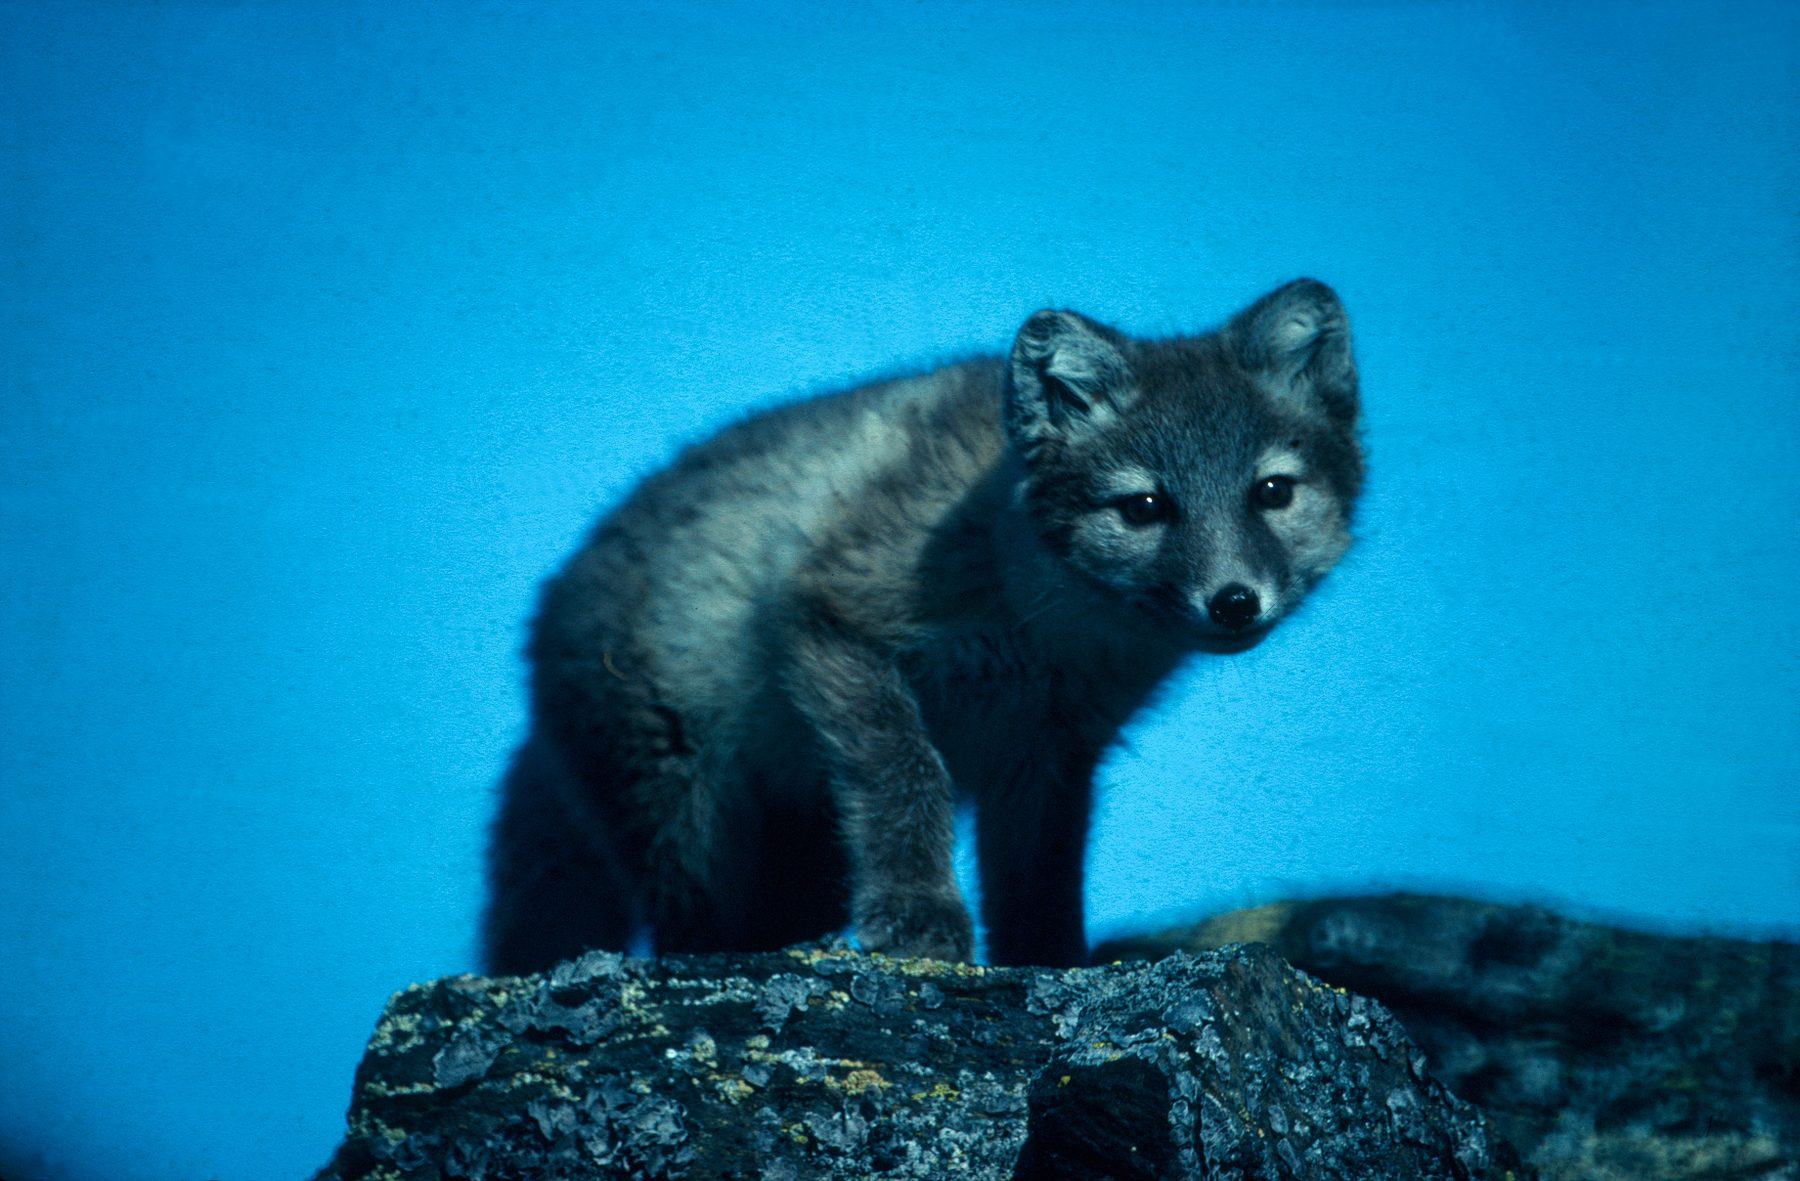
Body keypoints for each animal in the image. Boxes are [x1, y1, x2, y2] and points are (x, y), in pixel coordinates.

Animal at [483, 278, 1363, 974]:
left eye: (1272, 492)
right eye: (1145, 506)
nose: (1235, 601)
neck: (1035, 616)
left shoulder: (1049, 750)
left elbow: (1042, 875)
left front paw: (1050, 961)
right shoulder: (833, 618)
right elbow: (908, 771)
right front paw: (921, 916)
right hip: (688, 818)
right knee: (690, 929)